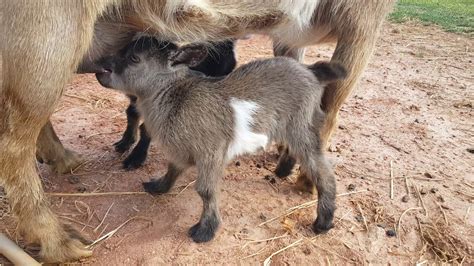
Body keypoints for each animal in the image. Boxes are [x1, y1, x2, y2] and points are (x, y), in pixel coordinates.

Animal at [97, 36, 348, 242]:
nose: (100, 67)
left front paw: (205, 230)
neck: (176, 97)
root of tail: (311, 71)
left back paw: (323, 221)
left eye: (134, 58)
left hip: (301, 126)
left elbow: (205, 190)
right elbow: (173, 169)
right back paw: (282, 172)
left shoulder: (211, 152)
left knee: (321, 169)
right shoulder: (181, 150)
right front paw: (159, 186)